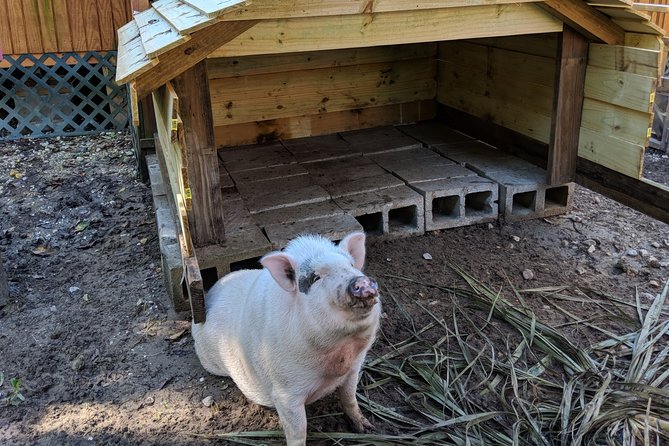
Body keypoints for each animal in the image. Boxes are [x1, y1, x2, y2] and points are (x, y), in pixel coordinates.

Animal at [192, 232, 380, 444]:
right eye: (315, 278)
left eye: (351, 265)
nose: (361, 281)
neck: (341, 351)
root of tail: (211, 292)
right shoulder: (285, 392)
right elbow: (298, 430)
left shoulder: (354, 368)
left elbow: (350, 398)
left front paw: (367, 429)